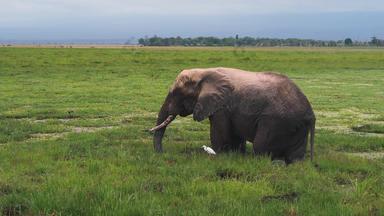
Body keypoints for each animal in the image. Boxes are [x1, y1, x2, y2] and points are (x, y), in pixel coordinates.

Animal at [150, 67, 316, 164]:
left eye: (175, 94)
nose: (162, 153)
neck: (204, 72)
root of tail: (311, 114)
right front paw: (235, 155)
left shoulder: (222, 107)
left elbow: (220, 133)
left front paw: (220, 155)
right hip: (297, 126)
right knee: (296, 155)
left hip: (277, 121)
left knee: (260, 145)